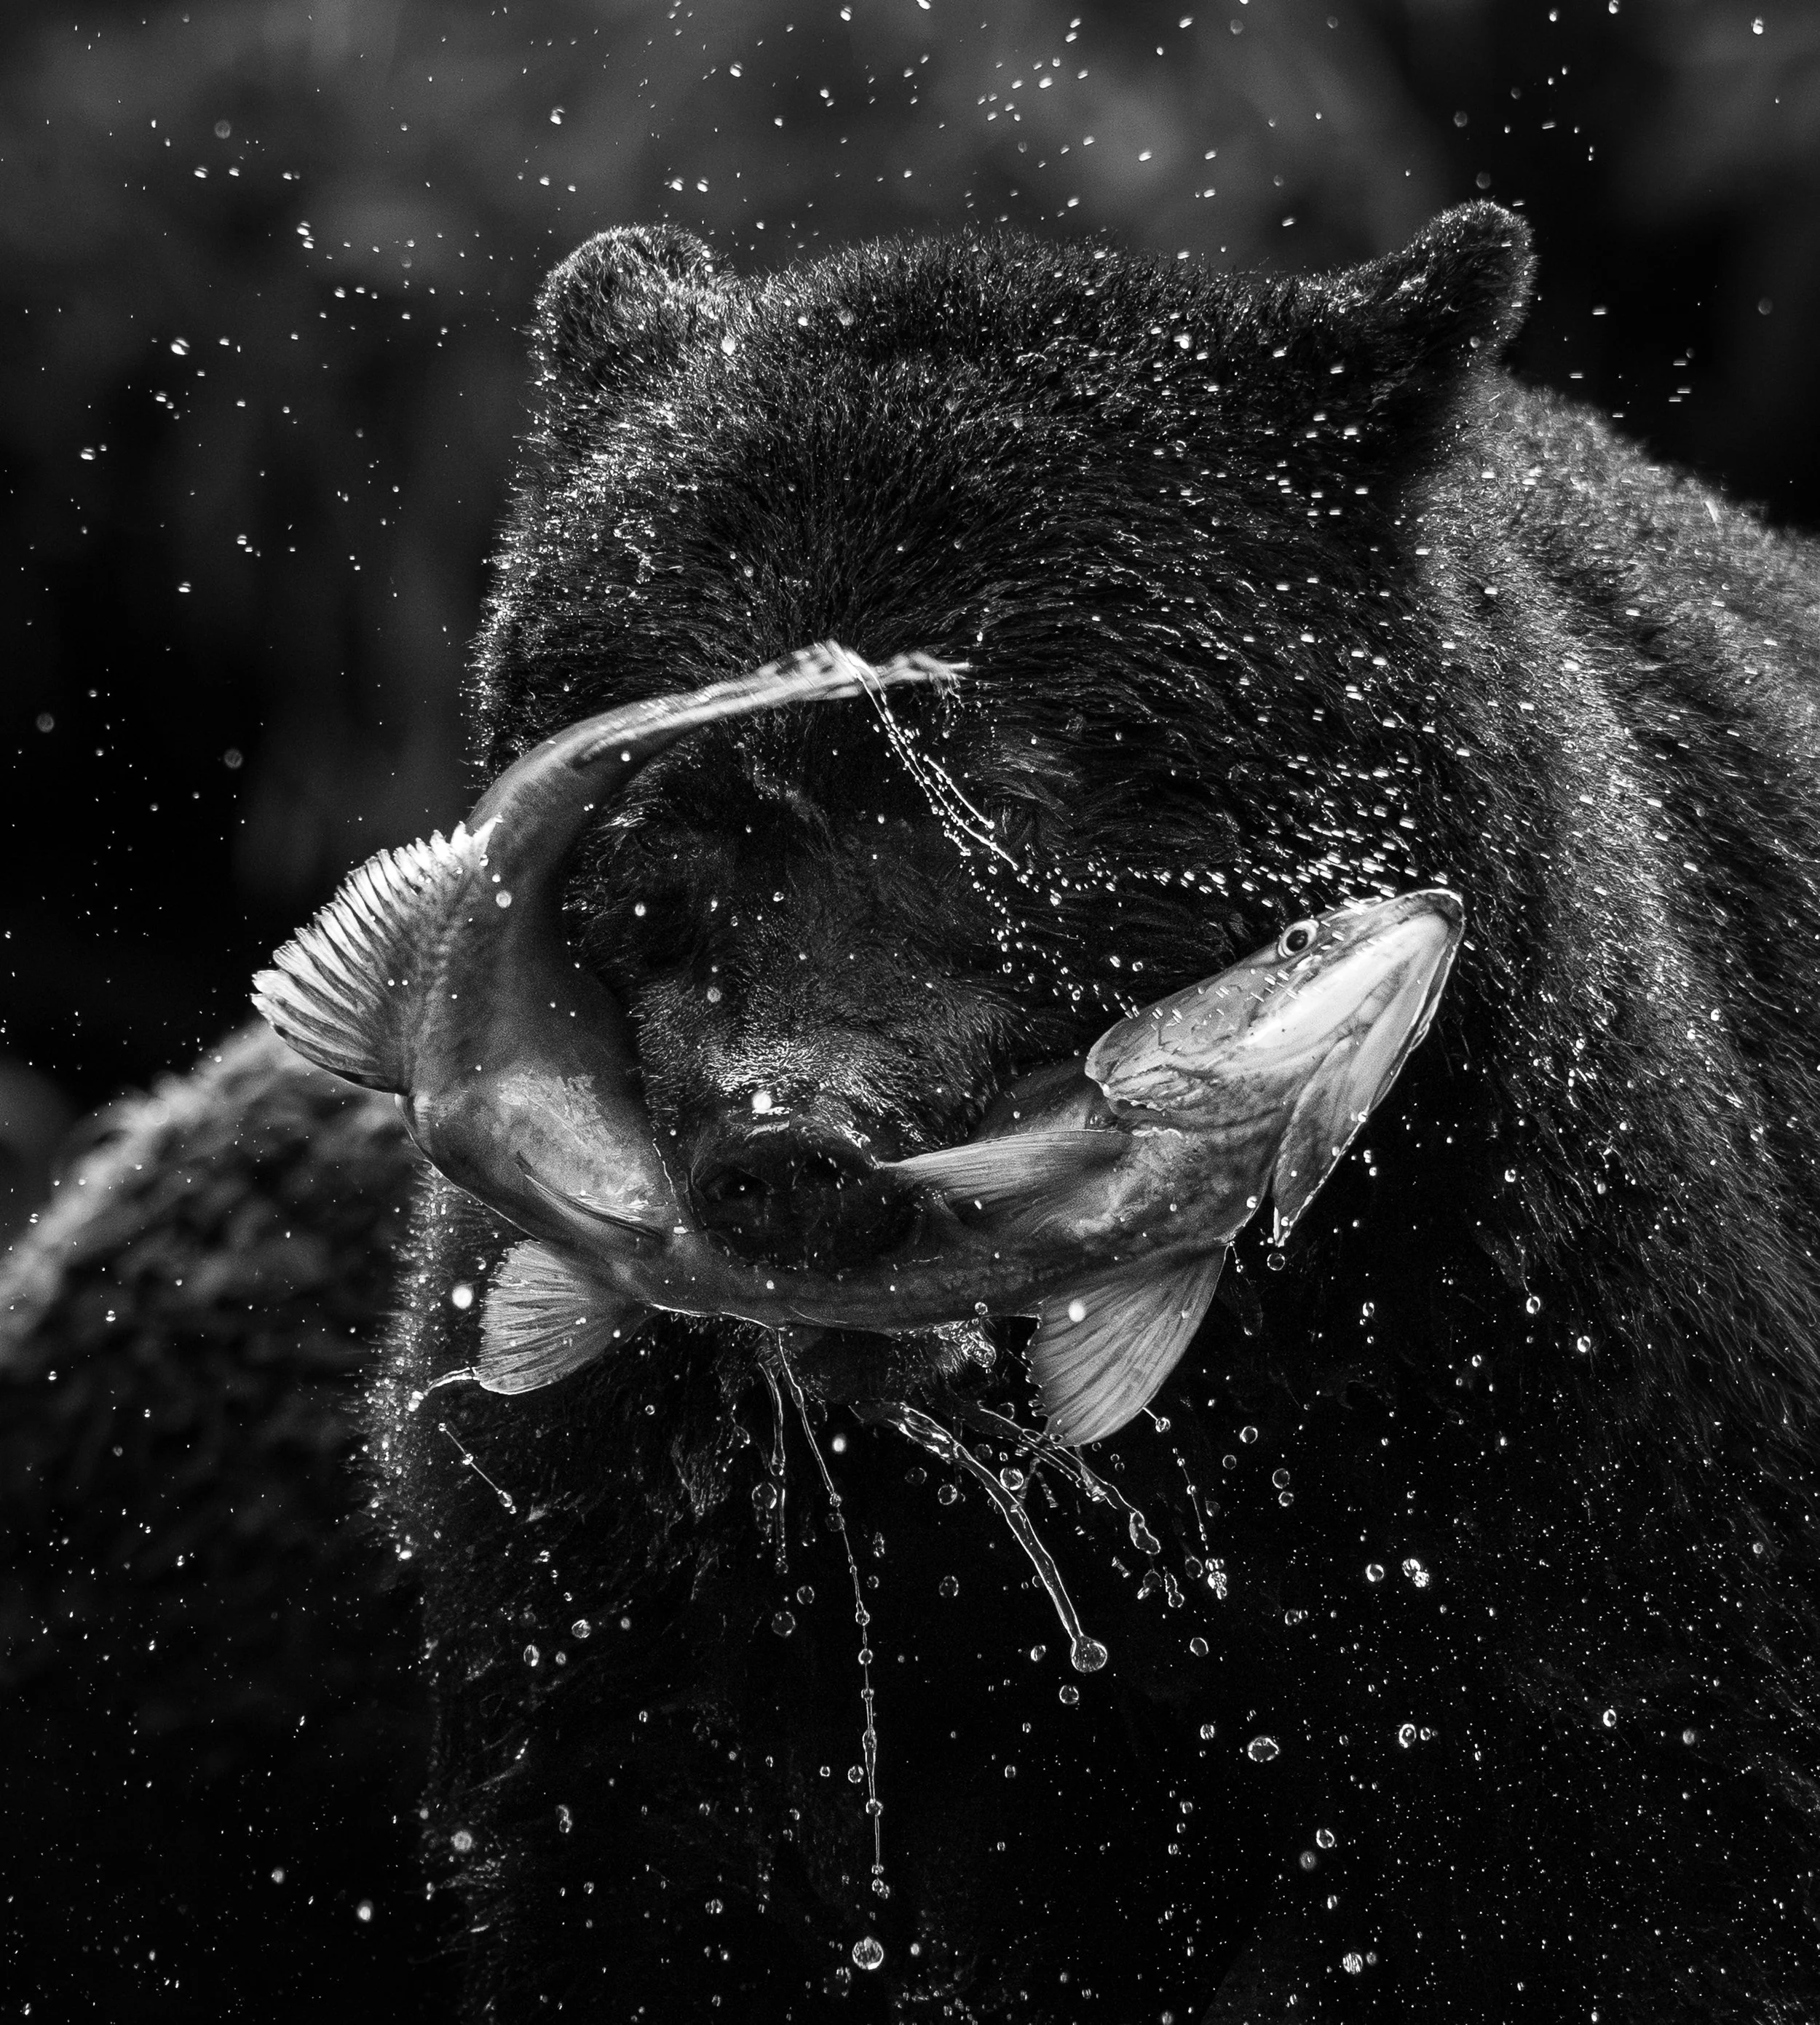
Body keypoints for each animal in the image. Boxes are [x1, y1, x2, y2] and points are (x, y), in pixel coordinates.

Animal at [8, 201, 1820, 2021]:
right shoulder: (622, 1560)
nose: (788, 1148)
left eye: (998, 775)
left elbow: (1580, 1826)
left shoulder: (1529, 1369)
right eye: (667, 808)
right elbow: (642, 1843)